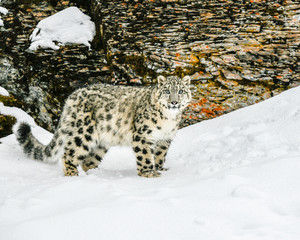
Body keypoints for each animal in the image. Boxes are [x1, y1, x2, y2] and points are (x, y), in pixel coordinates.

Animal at [15, 75, 191, 178]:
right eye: (167, 91)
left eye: (181, 91)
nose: (174, 102)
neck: (168, 119)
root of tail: (72, 96)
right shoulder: (143, 135)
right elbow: (145, 155)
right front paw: (149, 173)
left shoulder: (165, 139)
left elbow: (160, 155)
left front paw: (160, 169)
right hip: (83, 132)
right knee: (69, 153)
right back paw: (72, 174)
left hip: (102, 142)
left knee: (88, 160)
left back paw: (98, 174)